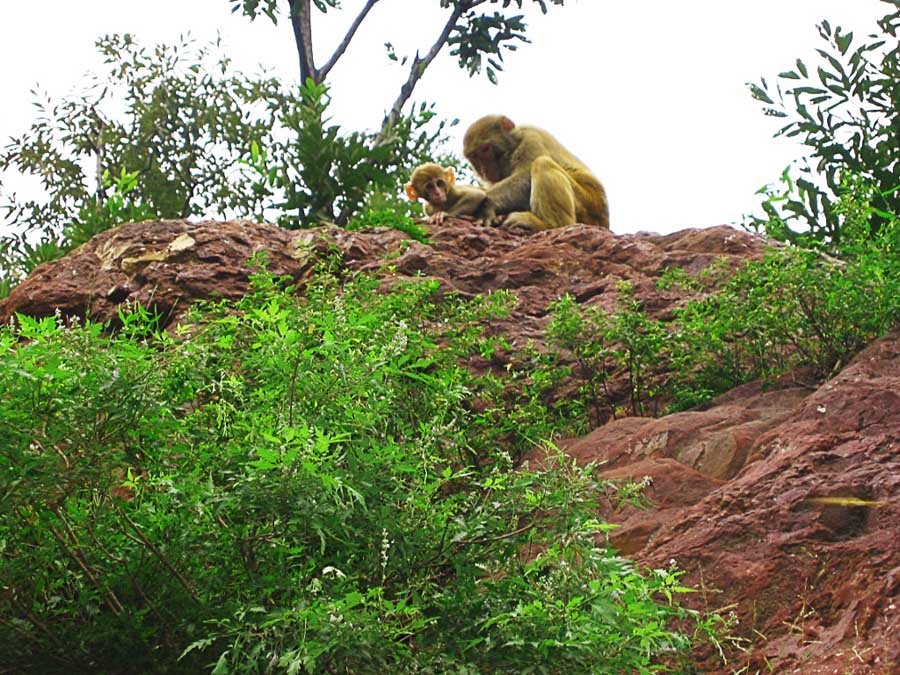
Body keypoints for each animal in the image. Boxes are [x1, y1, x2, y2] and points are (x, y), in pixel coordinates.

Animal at [468, 115, 608, 231]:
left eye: (485, 150)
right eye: (474, 156)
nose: (484, 169)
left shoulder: (531, 138)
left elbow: (525, 177)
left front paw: (486, 204)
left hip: (589, 207)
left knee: (542, 163)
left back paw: (551, 225)